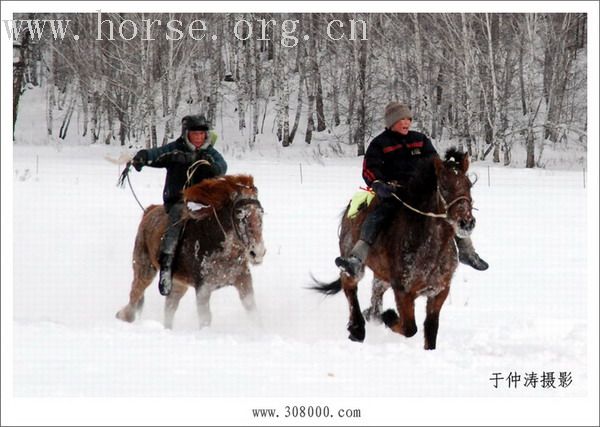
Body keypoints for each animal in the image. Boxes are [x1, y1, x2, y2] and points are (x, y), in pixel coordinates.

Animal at [116, 176, 264, 330]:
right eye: (239, 212)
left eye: (261, 212)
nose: (257, 252)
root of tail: (149, 210)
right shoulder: (203, 289)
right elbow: (205, 319)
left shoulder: (243, 280)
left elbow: (253, 311)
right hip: (144, 269)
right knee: (134, 296)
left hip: (178, 284)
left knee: (169, 308)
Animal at [314, 150, 478, 352]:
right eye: (444, 187)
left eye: (469, 185)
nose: (467, 223)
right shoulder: (403, 291)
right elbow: (409, 328)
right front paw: (389, 316)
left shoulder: (439, 292)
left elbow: (431, 329)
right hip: (354, 263)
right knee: (349, 285)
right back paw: (357, 328)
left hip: (382, 275)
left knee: (376, 291)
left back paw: (372, 314)